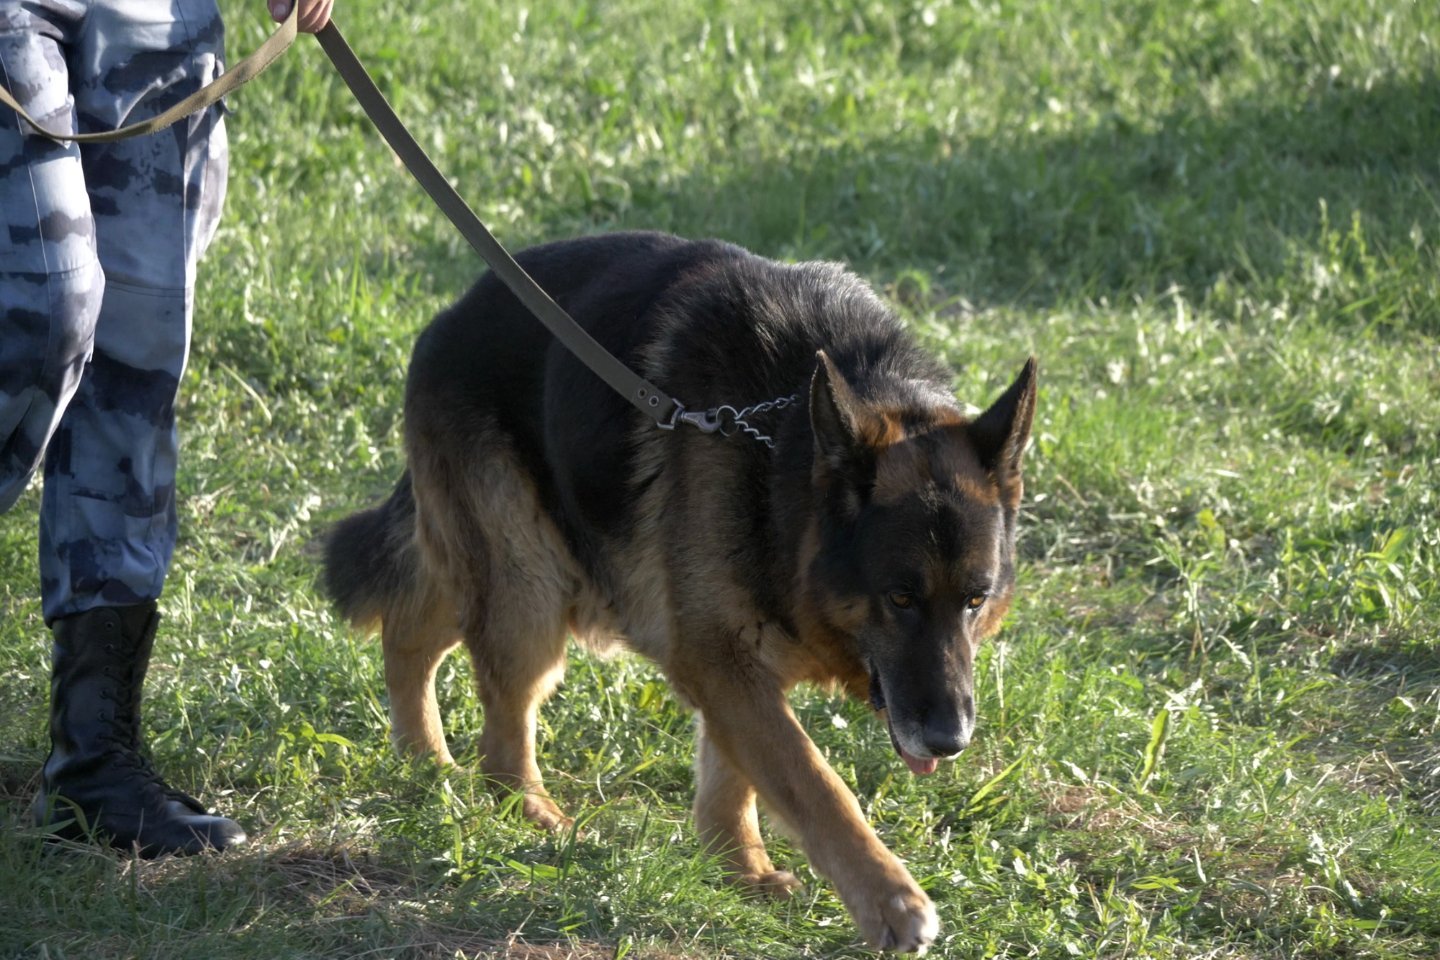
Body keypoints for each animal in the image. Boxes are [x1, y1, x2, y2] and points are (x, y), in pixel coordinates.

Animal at [324, 228, 1036, 949]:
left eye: (975, 600)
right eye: (900, 599)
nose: (949, 741)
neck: (779, 453)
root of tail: (452, 314)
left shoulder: (732, 660)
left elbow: (737, 774)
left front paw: (739, 869)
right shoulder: (717, 656)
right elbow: (812, 779)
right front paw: (889, 899)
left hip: (531, 575)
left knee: (409, 627)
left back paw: (422, 759)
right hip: (530, 588)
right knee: (497, 741)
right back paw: (530, 813)